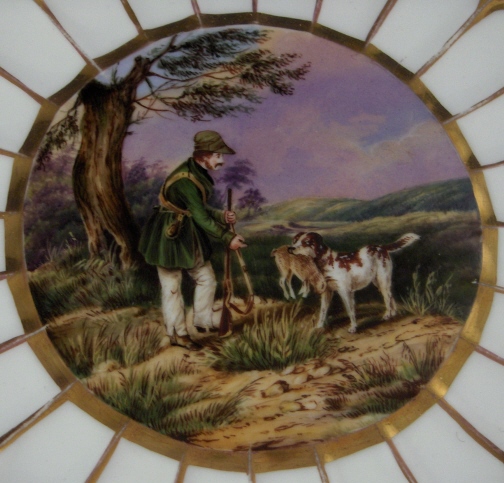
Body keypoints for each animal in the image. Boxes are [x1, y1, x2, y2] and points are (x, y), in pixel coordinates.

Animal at [289, 232, 420, 332]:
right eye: (295, 241)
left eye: (306, 242)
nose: (290, 248)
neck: (328, 262)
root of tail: (382, 247)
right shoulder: (327, 293)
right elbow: (323, 311)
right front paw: (319, 326)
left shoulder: (345, 292)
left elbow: (350, 311)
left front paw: (353, 327)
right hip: (379, 282)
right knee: (391, 296)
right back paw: (393, 313)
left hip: (383, 280)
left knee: (387, 298)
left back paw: (388, 314)